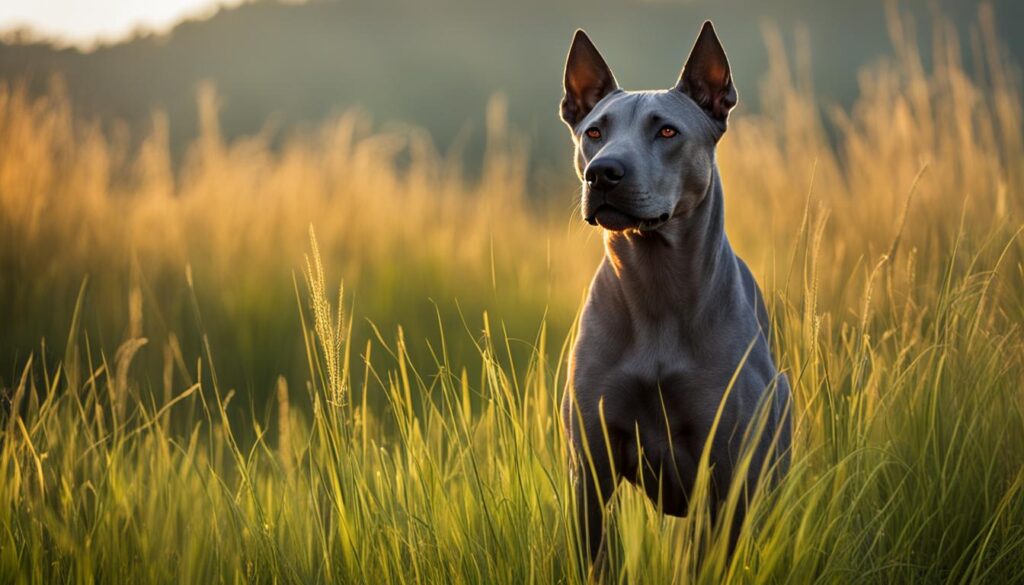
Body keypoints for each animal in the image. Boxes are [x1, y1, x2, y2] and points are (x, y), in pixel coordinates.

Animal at [561, 22, 790, 569]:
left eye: (667, 132)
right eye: (594, 132)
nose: (602, 172)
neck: (654, 286)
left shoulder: (731, 476)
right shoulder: (590, 471)